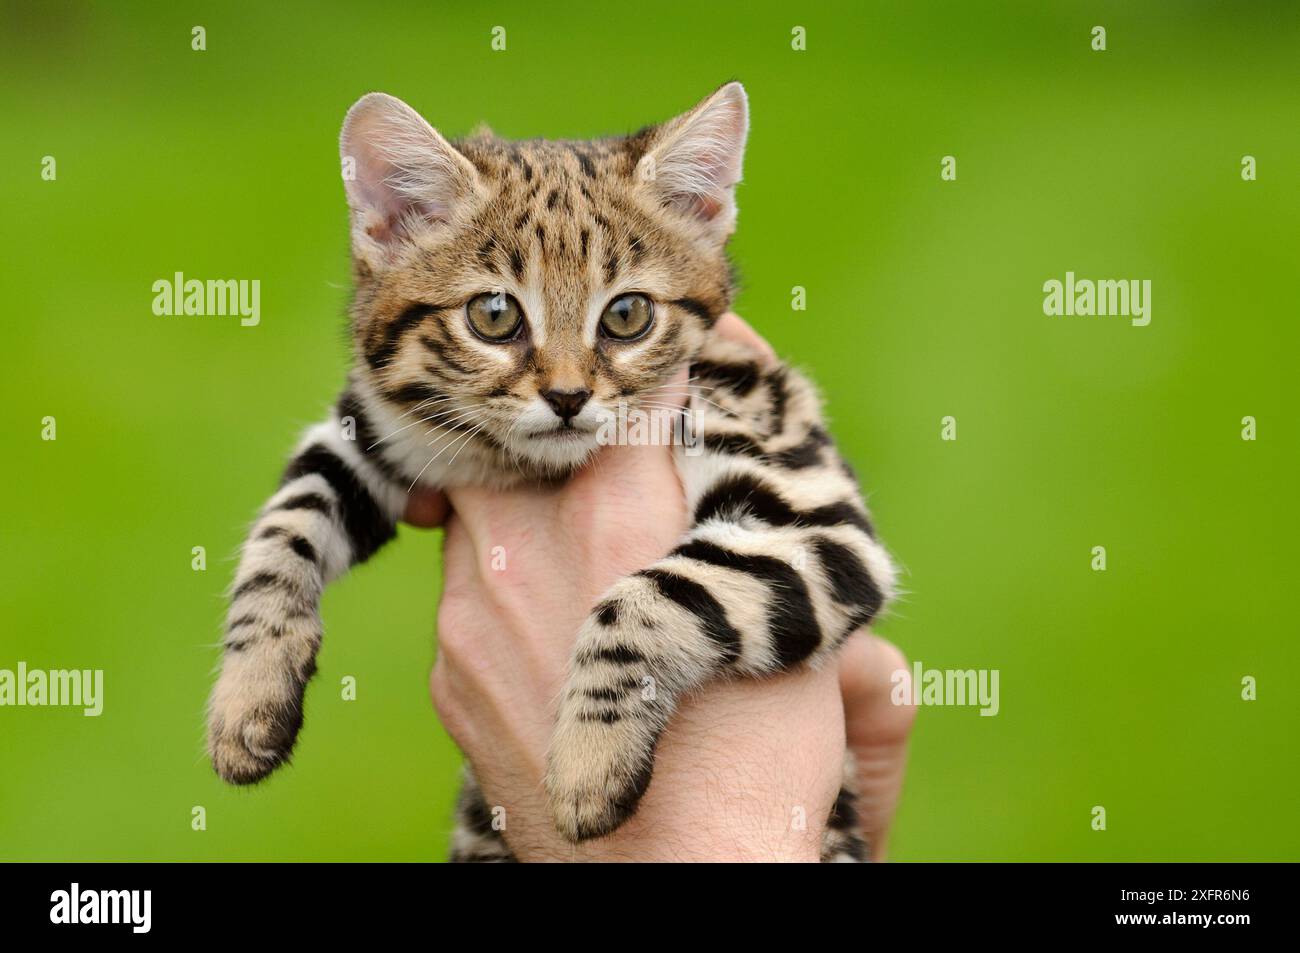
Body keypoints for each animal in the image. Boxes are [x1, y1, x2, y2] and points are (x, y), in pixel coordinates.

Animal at [205, 81, 894, 858]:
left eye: (626, 314)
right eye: (493, 313)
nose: (568, 397)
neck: (524, 467)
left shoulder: (816, 512)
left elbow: (649, 594)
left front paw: (587, 768)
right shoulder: (374, 430)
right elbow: (283, 526)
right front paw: (246, 700)